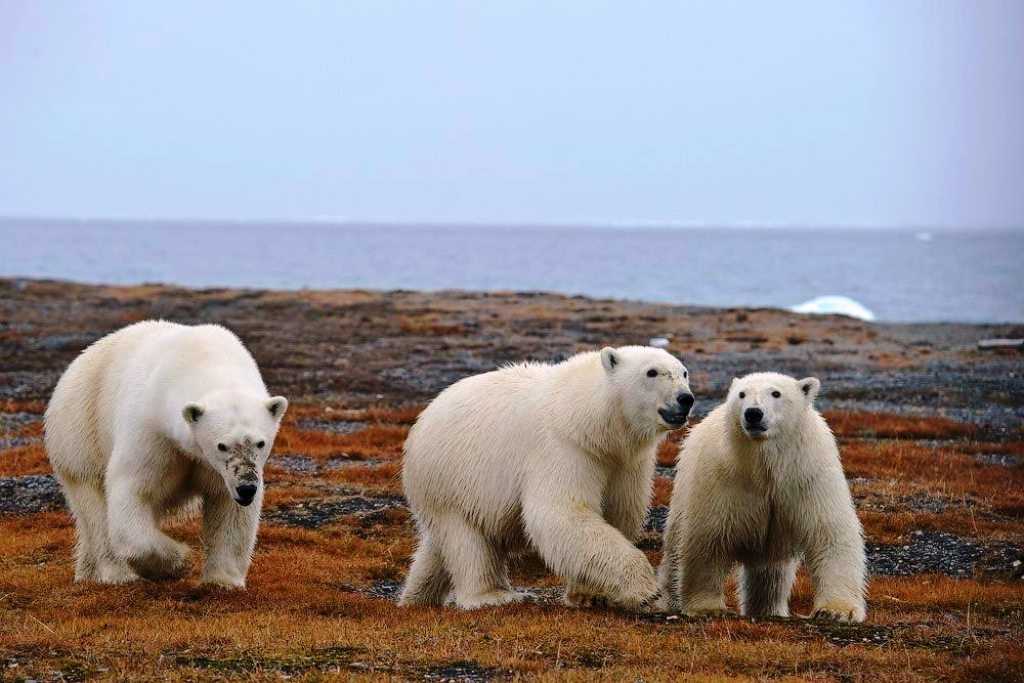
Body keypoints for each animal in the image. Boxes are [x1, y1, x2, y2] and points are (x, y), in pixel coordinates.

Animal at [45, 321, 288, 589]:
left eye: (260, 443)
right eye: (221, 445)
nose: (247, 488)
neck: (203, 358)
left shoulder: (218, 470)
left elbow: (228, 507)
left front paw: (223, 581)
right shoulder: (152, 430)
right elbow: (133, 491)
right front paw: (179, 562)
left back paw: (86, 573)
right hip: (82, 432)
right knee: (94, 503)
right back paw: (116, 574)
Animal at [399, 348, 696, 610]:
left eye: (684, 372)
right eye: (652, 372)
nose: (686, 398)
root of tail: (423, 418)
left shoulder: (624, 463)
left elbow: (618, 512)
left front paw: (588, 594)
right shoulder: (564, 448)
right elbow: (562, 512)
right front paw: (645, 589)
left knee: (438, 546)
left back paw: (416, 598)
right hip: (452, 479)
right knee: (467, 540)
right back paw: (492, 595)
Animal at [659, 370, 868, 622]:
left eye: (776, 393)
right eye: (742, 394)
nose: (753, 413)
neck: (765, 463)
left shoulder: (807, 476)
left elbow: (829, 532)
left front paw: (836, 611)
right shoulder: (724, 479)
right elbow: (709, 537)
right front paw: (707, 607)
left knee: (771, 573)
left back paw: (769, 608)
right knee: (674, 547)